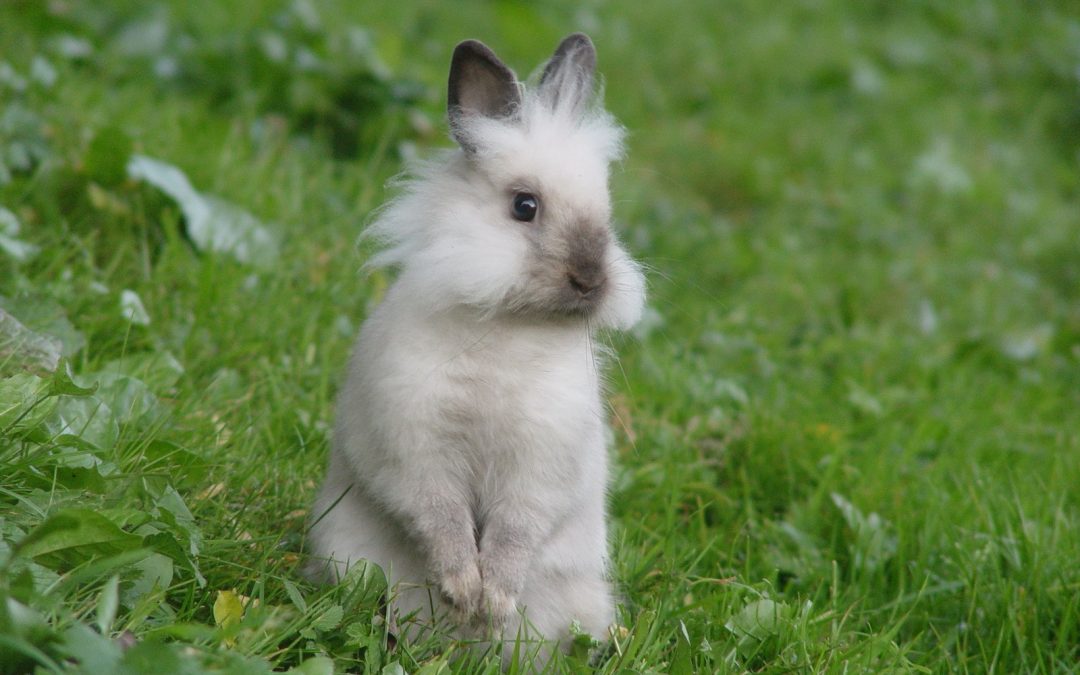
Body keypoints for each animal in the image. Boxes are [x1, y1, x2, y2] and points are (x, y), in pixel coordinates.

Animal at [307, 32, 646, 660]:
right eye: (524, 206)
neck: (507, 327)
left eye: (606, 212)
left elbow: (515, 534)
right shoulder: (416, 450)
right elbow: (441, 520)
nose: (591, 279)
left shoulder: (537, 467)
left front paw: (494, 604)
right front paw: (465, 591)